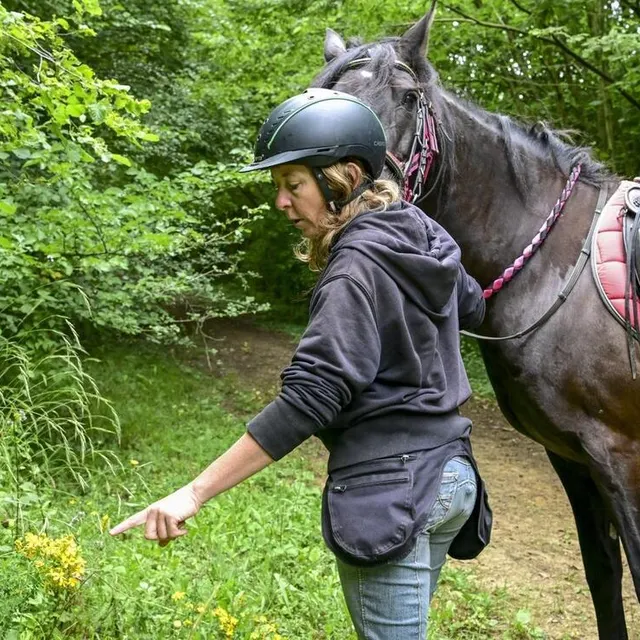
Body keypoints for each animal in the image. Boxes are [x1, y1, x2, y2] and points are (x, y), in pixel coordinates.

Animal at [312, 4, 640, 639]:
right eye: (318, 97)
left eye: (407, 97)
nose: (347, 194)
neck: (556, 264)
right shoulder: (576, 460)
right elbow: (604, 581)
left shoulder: (624, 458)